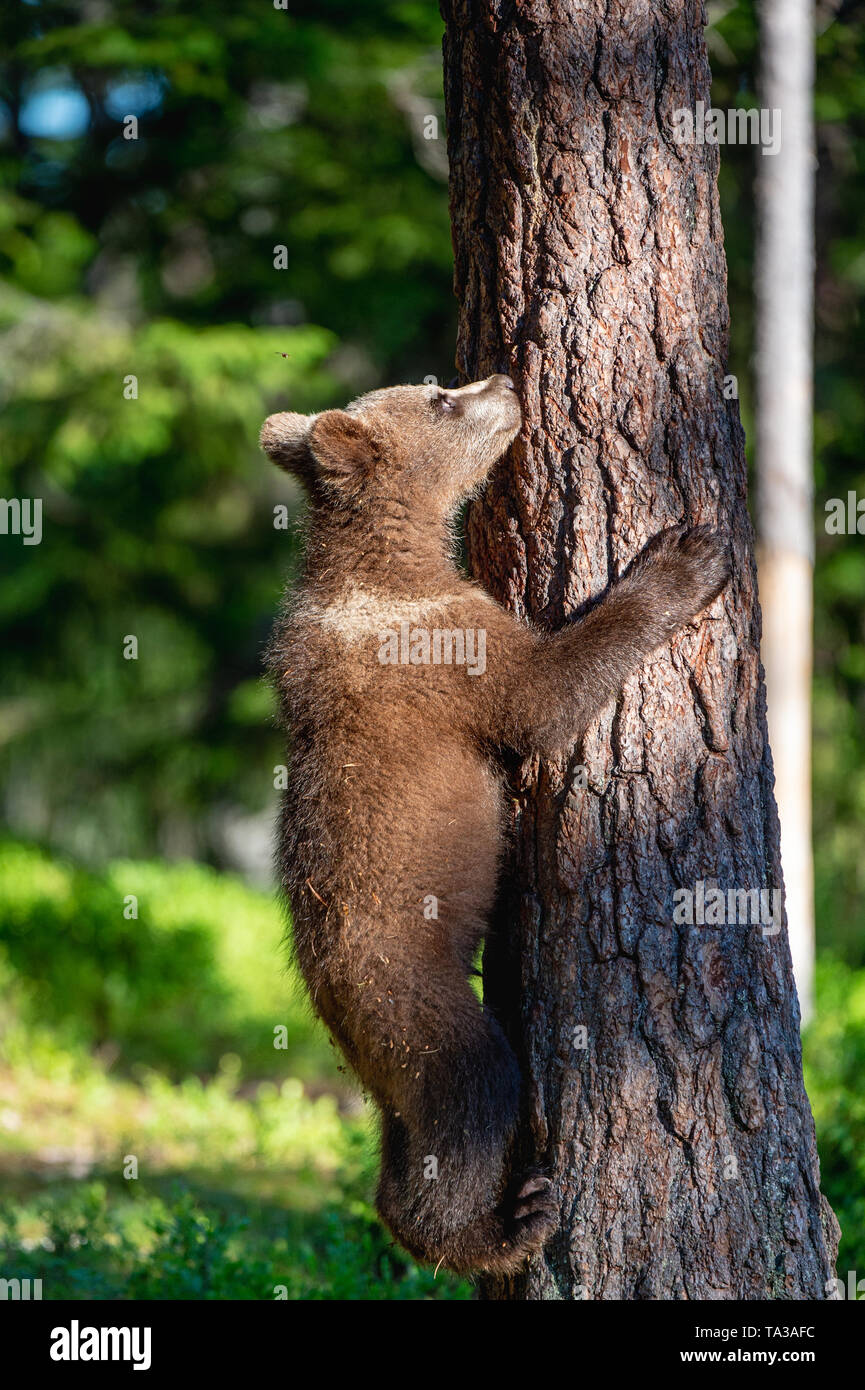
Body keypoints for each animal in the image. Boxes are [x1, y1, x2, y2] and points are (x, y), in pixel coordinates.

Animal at [261, 373, 729, 1275]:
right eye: (439, 399)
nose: (503, 382)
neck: (387, 561)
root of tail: (325, 1005)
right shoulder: (448, 649)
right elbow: (543, 697)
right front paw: (686, 557)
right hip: (420, 1004)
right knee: (476, 1094)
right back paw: (507, 1225)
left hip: (389, 1062)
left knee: (405, 1143)